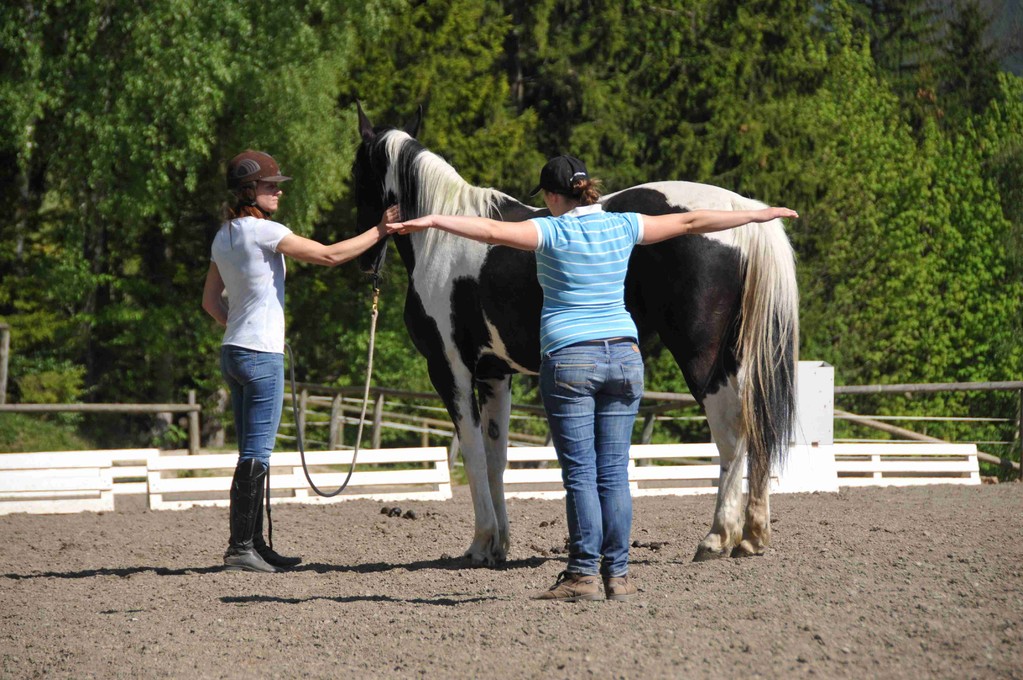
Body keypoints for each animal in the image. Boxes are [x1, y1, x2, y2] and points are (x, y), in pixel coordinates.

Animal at [351, 106, 797, 560]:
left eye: (356, 171)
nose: (365, 260)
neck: (441, 239)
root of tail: (738, 209)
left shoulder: (450, 369)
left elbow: (472, 453)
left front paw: (480, 544)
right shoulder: (495, 374)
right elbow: (496, 457)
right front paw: (499, 546)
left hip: (701, 356)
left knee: (731, 430)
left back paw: (717, 537)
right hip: (737, 356)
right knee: (757, 424)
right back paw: (753, 535)